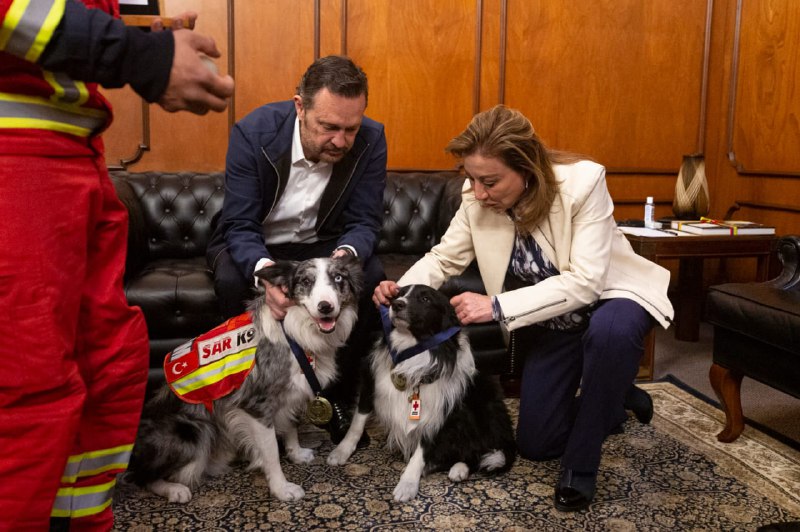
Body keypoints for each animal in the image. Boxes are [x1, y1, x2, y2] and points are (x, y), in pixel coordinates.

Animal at [328, 284, 516, 500]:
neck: (413, 348)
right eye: (399, 294)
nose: (396, 304)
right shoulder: (370, 381)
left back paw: (457, 468)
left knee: (476, 451)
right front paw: (341, 451)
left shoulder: (439, 409)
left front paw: (408, 483)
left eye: (426, 299)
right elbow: (357, 422)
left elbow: (422, 449)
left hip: (482, 398)